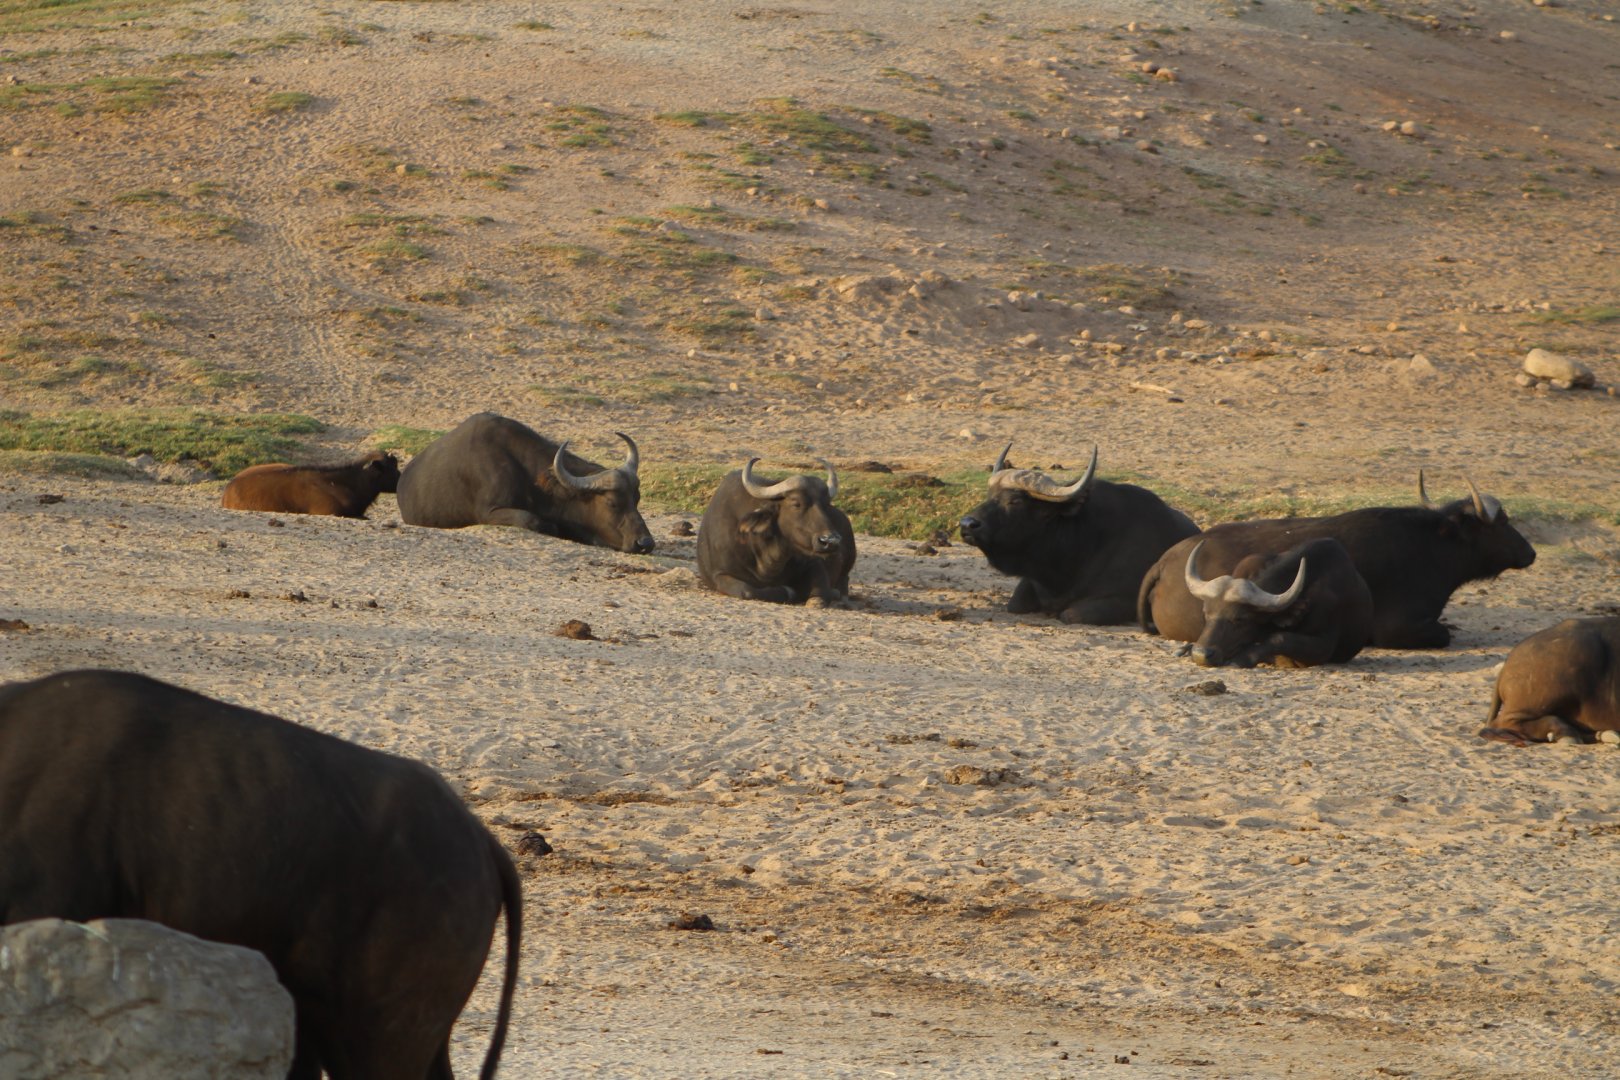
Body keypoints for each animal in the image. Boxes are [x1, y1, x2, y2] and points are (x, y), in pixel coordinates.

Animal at [696, 458, 855, 605]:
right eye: (796, 503)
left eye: (826, 504)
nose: (831, 541)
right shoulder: (720, 574)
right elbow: (747, 590)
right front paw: (788, 591)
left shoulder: (813, 562)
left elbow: (821, 589)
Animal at [958, 442, 1198, 625]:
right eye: (990, 495)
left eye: (1014, 501)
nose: (967, 524)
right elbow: (1015, 604)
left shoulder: (1125, 599)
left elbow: (1071, 614)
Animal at [1139, 473, 1535, 649]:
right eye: (1502, 521)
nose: (1530, 552)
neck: (1430, 547)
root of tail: (1165, 562)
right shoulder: (1397, 628)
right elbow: (1442, 634)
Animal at [1170, 537, 1373, 668]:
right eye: (1206, 614)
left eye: (1239, 619)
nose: (1201, 655)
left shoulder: (1324, 644)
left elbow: (1280, 637)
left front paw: (1244, 657)